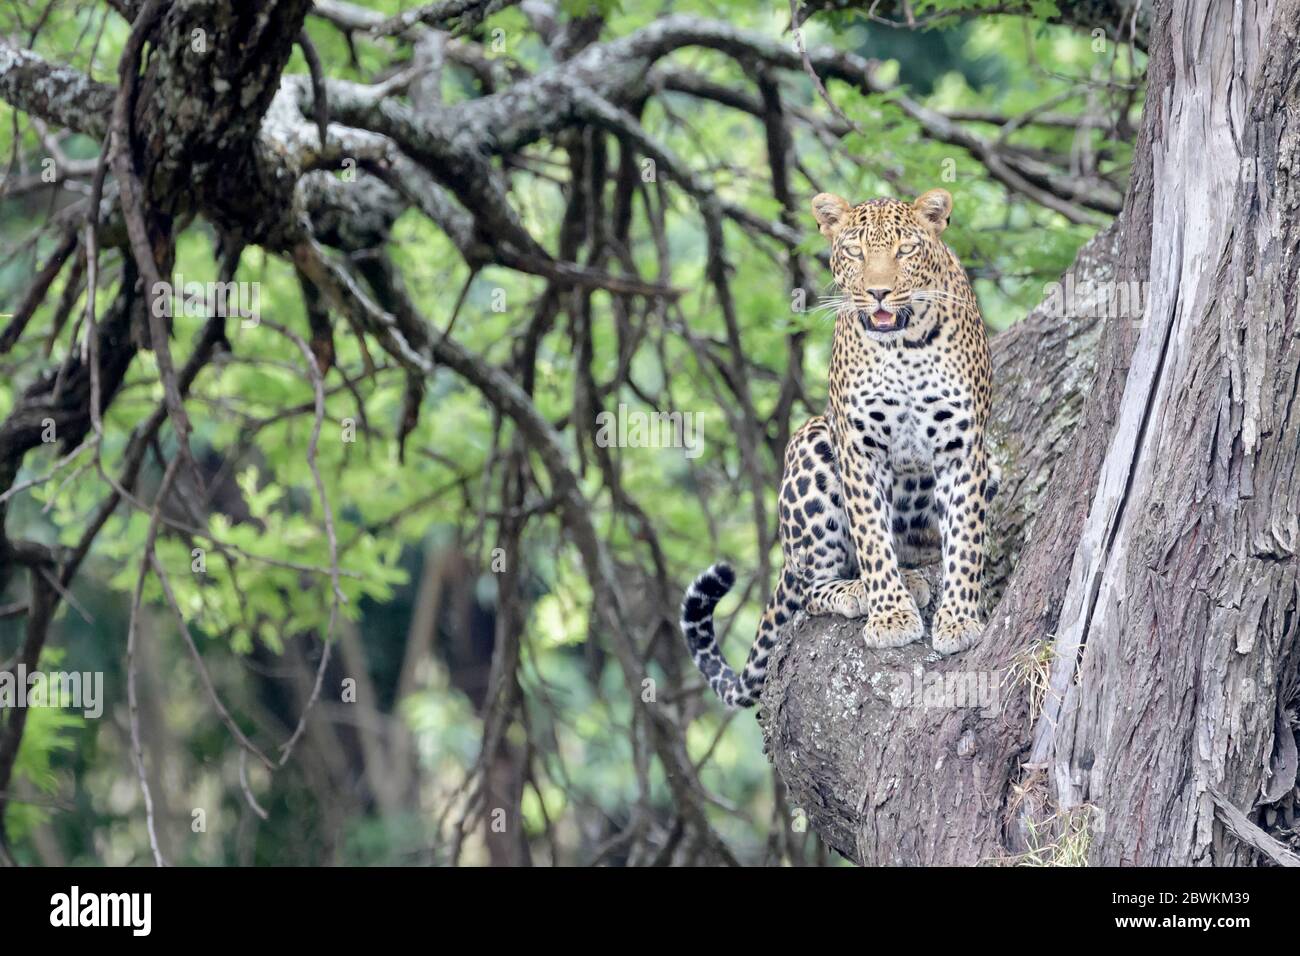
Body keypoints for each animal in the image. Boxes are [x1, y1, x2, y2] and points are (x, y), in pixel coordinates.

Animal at [681, 188, 993, 712]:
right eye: (855, 252)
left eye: (905, 250)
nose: (879, 292)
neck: (904, 346)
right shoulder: (857, 447)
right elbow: (871, 537)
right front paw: (890, 617)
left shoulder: (963, 446)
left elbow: (966, 542)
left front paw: (959, 619)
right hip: (812, 443)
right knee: (810, 591)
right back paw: (862, 591)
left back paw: (918, 577)